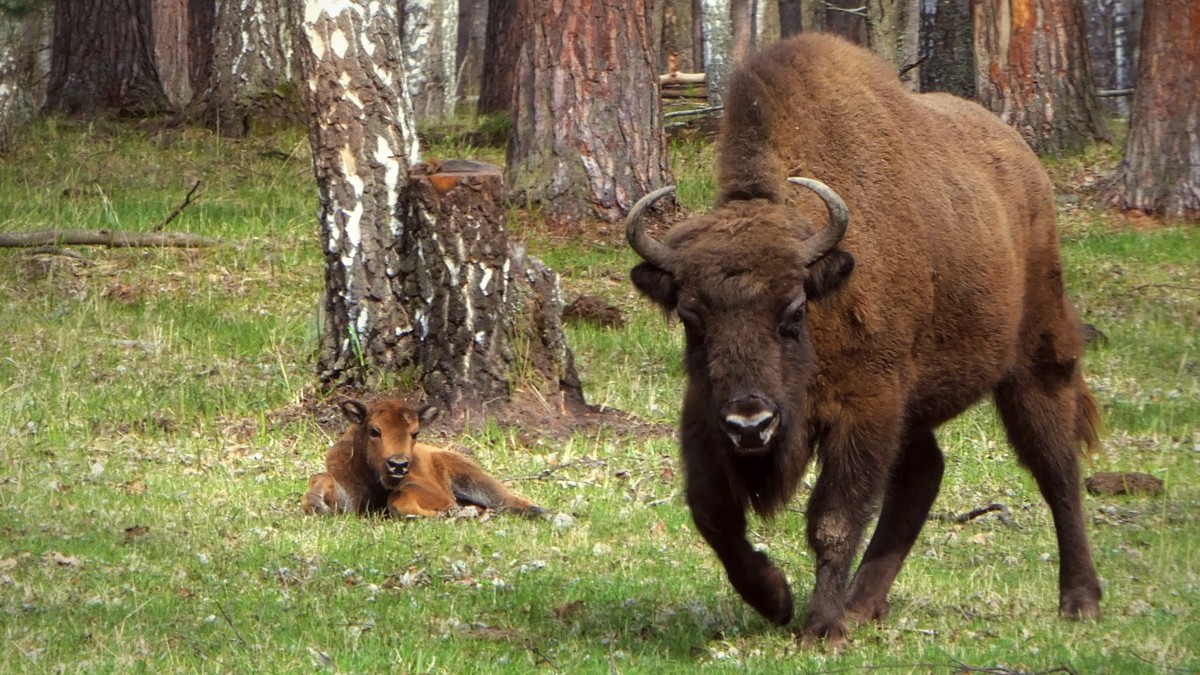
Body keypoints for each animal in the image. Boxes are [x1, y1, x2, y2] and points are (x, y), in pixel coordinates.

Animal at [302, 396, 547, 516]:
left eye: (415, 432)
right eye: (374, 430)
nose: (398, 464)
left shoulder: (436, 494)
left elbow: (399, 499)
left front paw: (448, 514)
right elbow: (320, 477)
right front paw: (317, 505)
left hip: (475, 481)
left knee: (510, 501)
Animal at [624, 35, 1099, 648]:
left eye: (793, 312)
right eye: (690, 318)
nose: (751, 424)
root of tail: (1025, 165)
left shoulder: (865, 410)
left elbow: (834, 519)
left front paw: (820, 628)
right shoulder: (706, 415)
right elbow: (712, 512)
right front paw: (777, 599)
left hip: (1035, 358)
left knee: (1057, 467)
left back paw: (1080, 601)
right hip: (916, 404)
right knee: (923, 474)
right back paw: (863, 604)